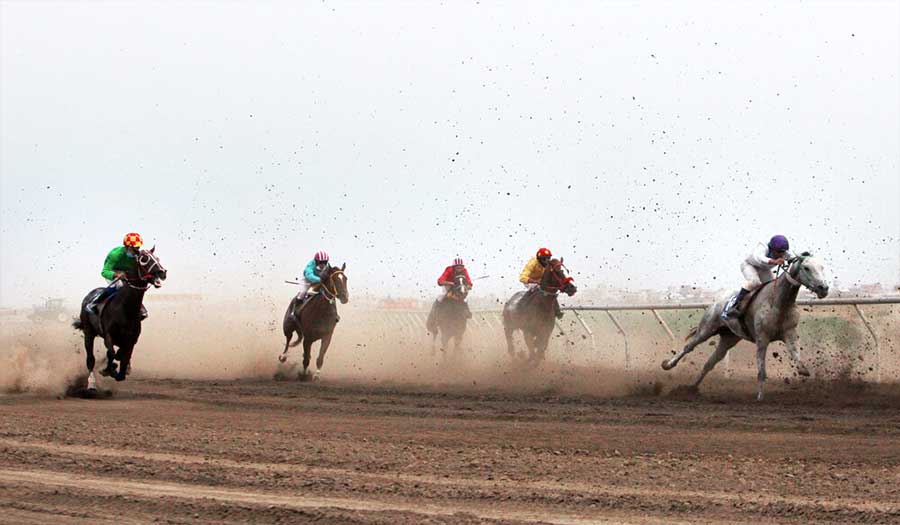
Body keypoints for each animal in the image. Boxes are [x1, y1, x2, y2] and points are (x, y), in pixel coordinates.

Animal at [72, 248, 167, 390]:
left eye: (157, 258)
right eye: (144, 259)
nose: (162, 272)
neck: (125, 309)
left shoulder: (132, 339)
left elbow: (123, 358)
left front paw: (119, 368)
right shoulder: (108, 335)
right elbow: (111, 353)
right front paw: (108, 369)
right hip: (88, 332)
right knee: (90, 359)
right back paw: (91, 383)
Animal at [660, 252, 828, 400]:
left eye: (822, 267)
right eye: (806, 268)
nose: (824, 288)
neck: (779, 302)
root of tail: (717, 300)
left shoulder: (790, 333)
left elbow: (797, 358)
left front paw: (804, 371)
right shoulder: (762, 338)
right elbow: (761, 370)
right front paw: (760, 397)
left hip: (729, 338)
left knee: (711, 362)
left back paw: (691, 388)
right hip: (707, 328)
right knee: (689, 346)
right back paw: (668, 365)